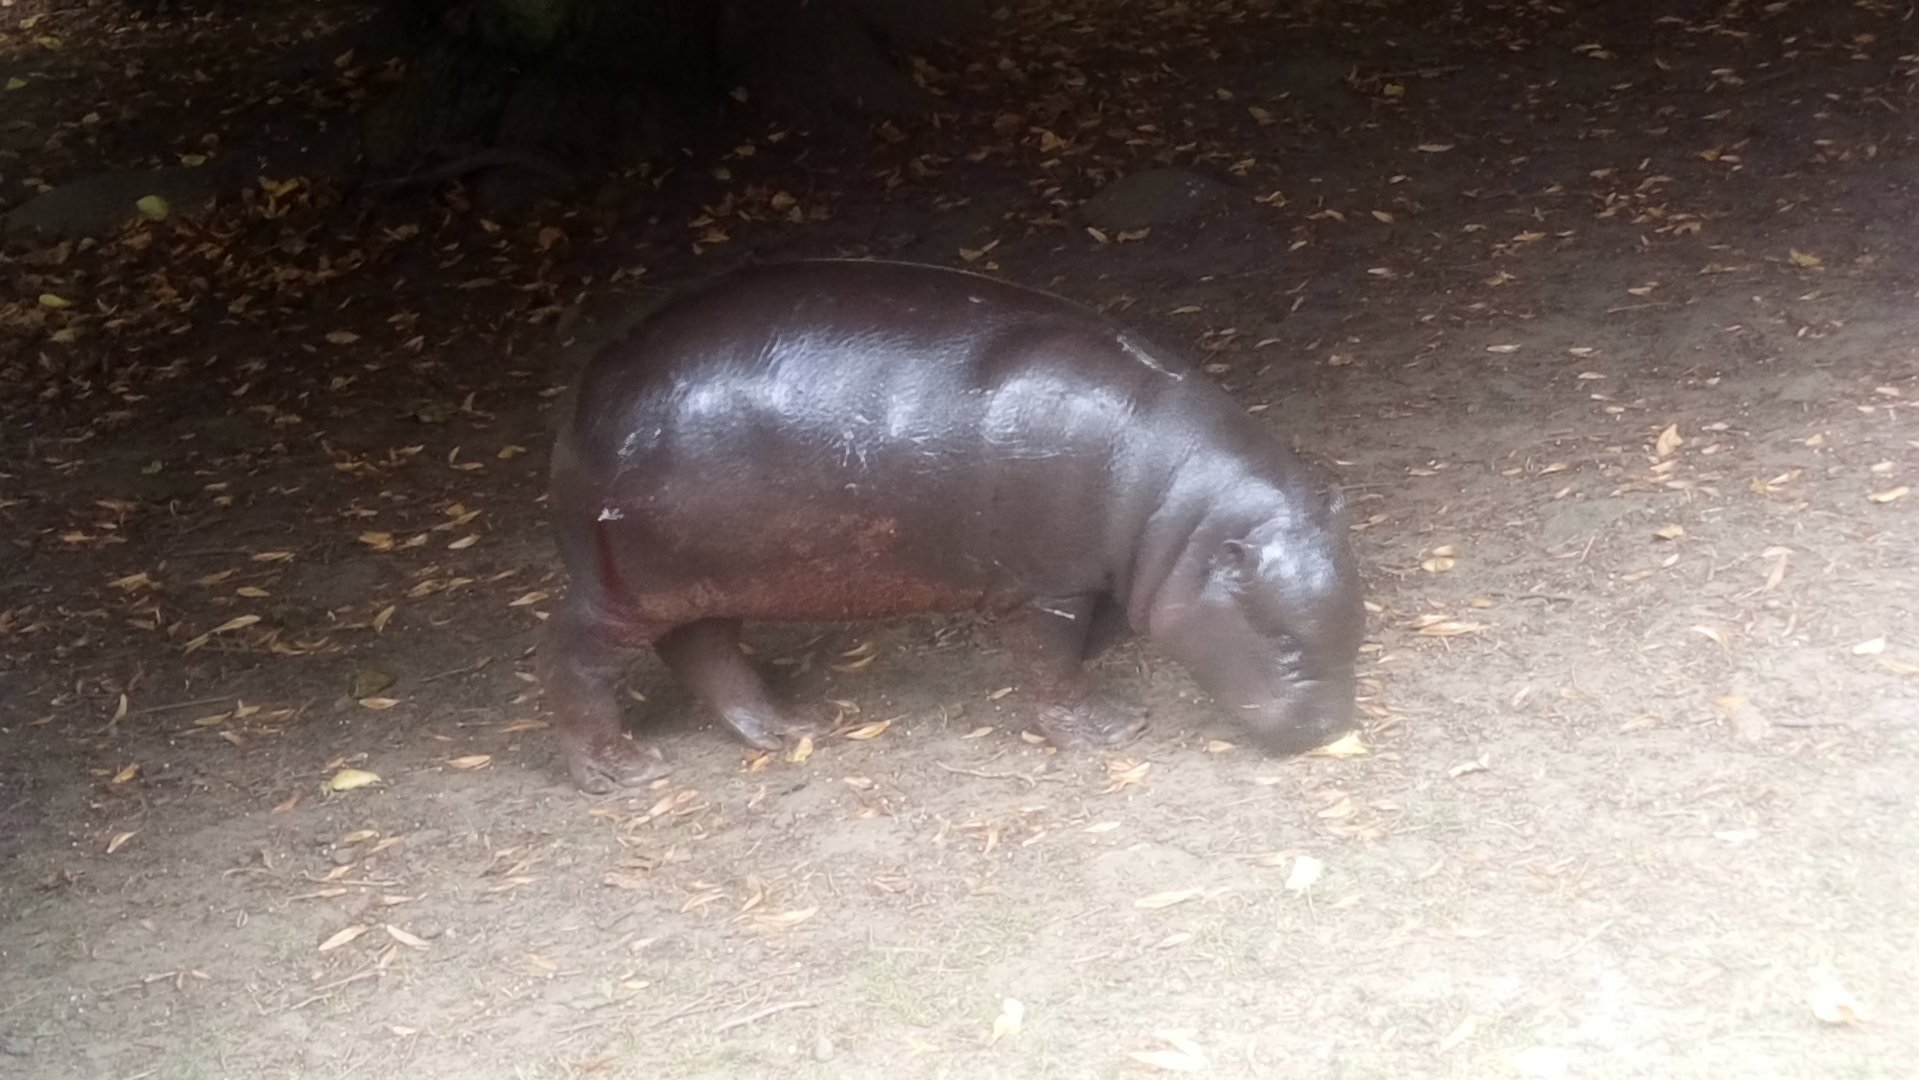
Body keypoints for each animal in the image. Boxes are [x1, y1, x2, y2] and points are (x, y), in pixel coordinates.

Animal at [542, 259, 1363, 792]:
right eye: (1283, 641)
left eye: (1357, 623)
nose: (1328, 730)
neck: (1184, 513)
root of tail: (589, 392)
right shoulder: (1046, 587)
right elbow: (1051, 661)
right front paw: (1106, 731)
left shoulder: (1106, 579)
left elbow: (1087, 646)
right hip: (626, 586)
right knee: (577, 654)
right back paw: (620, 773)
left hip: (703, 575)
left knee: (704, 647)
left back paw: (789, 730)